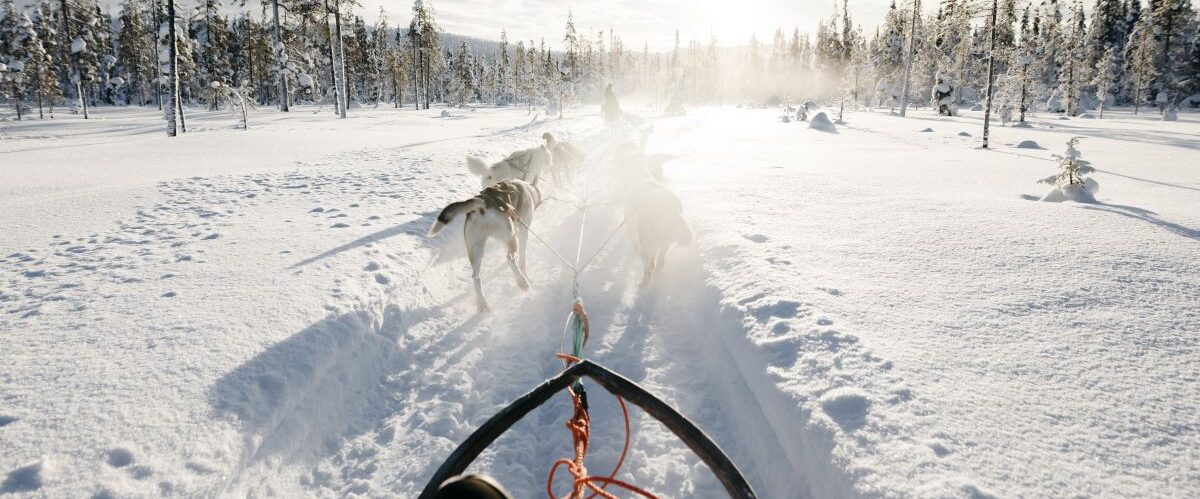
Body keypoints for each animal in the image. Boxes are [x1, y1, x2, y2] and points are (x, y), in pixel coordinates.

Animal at [427, 179, 544, 311]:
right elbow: (522, 260)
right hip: (510, 237)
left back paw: (482, 303)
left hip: (476, 249)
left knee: (476, 277)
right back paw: (522, 282)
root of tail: (483, 202)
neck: (528, 189)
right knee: (509, 258)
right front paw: (525, 273)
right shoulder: (523, 231)